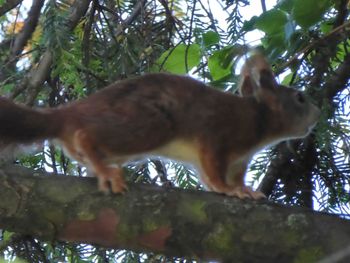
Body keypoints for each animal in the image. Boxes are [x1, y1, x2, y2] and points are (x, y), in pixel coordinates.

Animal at [0, 53, 320, 200]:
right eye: (300, 98)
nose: (319, 113)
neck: (259, 124)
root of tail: (70, 112)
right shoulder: (216, 133)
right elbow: (213, 172)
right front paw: (229, 190)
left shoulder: (239, 161)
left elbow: (220, 177)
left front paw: (244, 189)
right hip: (149, 124)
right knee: (85, 133)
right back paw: (104, 167)